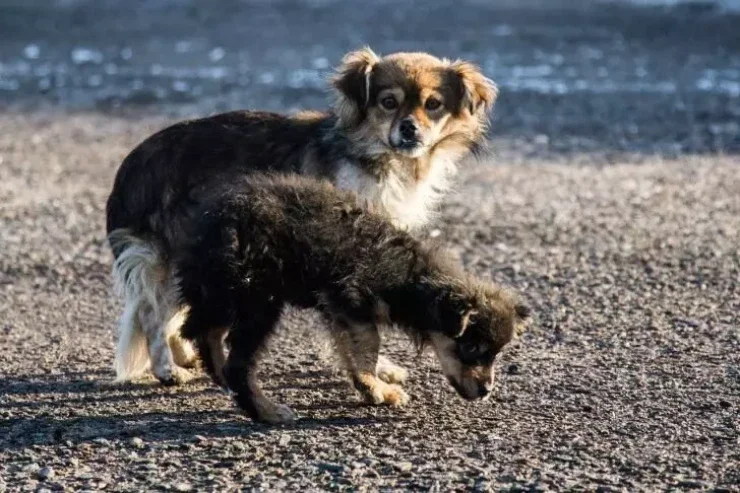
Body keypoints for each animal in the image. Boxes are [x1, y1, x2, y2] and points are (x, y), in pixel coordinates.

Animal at [176, 174, 528, 422]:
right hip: (259, 300)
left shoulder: (339, 310)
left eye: (496, 354)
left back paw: (223, 380)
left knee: (204, 334)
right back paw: (266, 411)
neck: (409, 274)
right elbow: (368, 348)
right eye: (472, 348)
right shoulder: (353, 302)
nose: (486, 391)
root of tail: (210, 227)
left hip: (226, 293)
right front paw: (377, 390)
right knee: (237, 363)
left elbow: (350, 350)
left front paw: (370, 388)